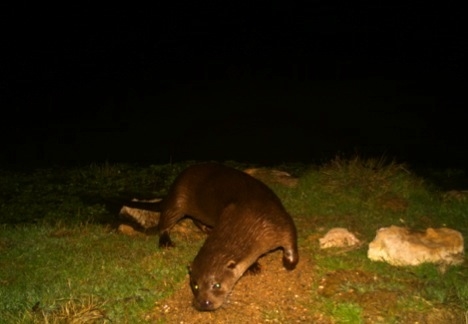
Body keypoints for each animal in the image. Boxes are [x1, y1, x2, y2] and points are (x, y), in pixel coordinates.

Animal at [149, 163, 300, 310]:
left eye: (217, 285)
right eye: (195, 285)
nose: (204, 303)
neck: (250, 218)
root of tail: (175, 183)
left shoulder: (279, 222)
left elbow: (291, 241)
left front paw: (289, 263)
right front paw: (253, 266)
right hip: (179, 201)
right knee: (166, 222)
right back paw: (167, 242)